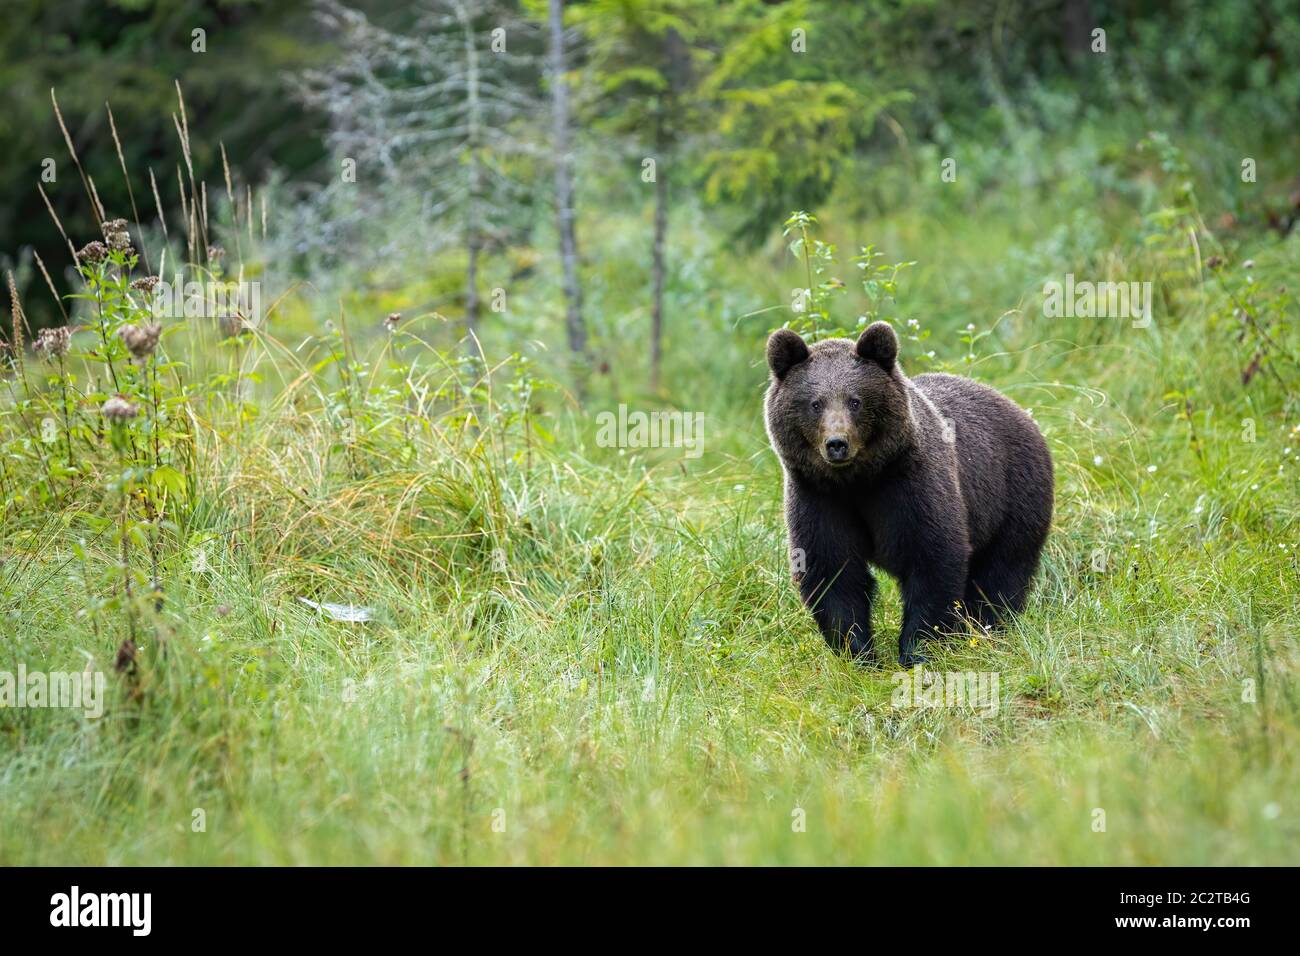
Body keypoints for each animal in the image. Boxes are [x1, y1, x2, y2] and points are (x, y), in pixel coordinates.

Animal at [759, 321, 1055, 665]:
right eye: (815, 403)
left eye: (855, 400)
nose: (837, 444)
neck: (858, 480)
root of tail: (1018, 409)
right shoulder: (819, 496)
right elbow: (832, 571)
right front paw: (858, 652)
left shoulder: (910, 485)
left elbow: (931, 559)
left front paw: (918, 649)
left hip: (1013, 494)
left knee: (1003, 569)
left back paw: (987, 625)